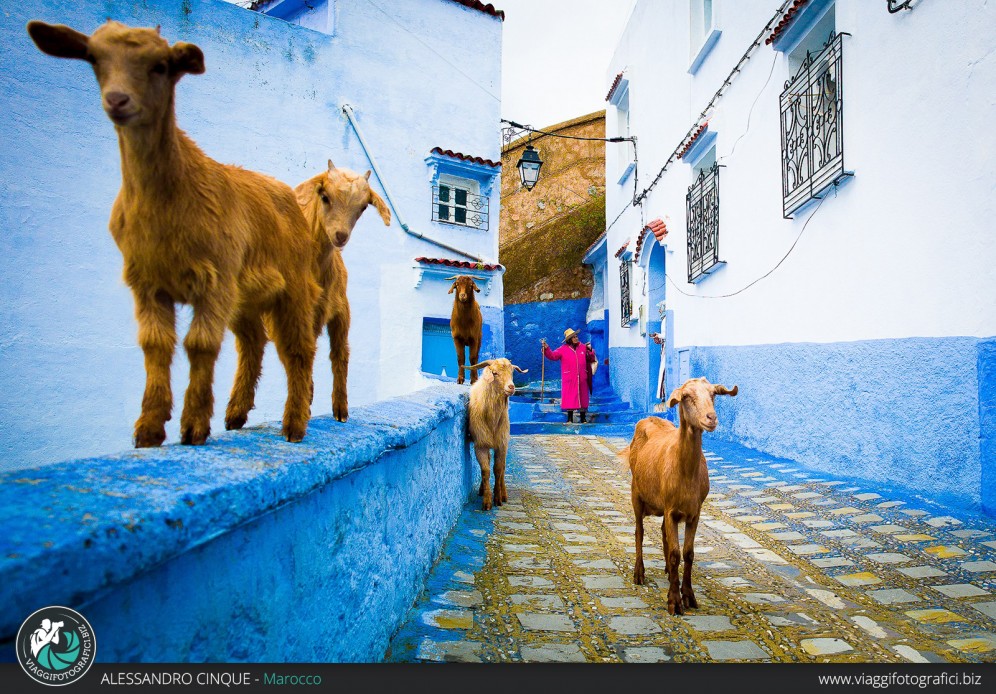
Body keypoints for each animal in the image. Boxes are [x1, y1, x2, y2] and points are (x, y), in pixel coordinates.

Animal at [468, 358, 524, 512]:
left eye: (512, 372)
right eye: (495, 373)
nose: (511, 387)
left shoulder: (502, 444)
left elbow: (498, 469)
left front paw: (498, 498)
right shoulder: (480, 445)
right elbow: (485, 470)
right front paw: (487, 501)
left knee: (503, 468)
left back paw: (503, 494)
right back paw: (482, 490)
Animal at [624, 380, 740, 616]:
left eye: (713, 394)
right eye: (687, 396)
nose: (711, 418)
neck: (685, 473)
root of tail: (648, 419)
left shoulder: (693, 512)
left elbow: (688, 553)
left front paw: (688, 595)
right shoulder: (671, 511)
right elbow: (675, 554)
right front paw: (674, 601)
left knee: (662, 534)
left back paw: (669, 573)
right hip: (636, 495)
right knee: (639, 532)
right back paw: (639, 573)